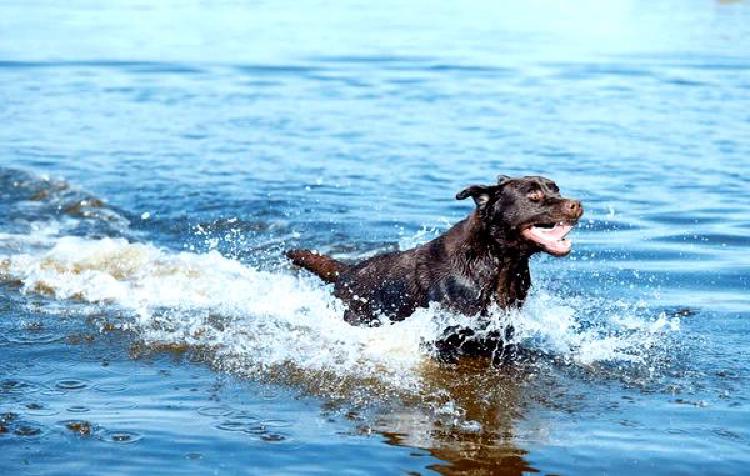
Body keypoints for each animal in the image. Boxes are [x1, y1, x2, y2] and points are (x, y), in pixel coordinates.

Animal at [284, 175, 584, 364]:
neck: (499, 262)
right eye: (534, 195)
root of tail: (346, 272)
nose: (577, 204)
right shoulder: (447, 335)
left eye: (556, 189)